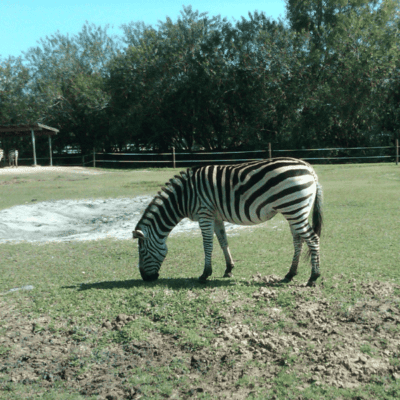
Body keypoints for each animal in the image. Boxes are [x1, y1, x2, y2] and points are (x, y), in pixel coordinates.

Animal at [133, 158, 324, 286]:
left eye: (142, 252)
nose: (145, 278)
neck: (184, 196)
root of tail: (309, 168)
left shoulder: (204, 213)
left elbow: (207, 244)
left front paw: (205, 274)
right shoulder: (216, 216)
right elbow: (223, 241)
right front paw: (229, 269)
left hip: (294, 209)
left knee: (312, 239)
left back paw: (313, 277)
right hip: (295, 210)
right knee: (298, 240)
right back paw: (290, 274)